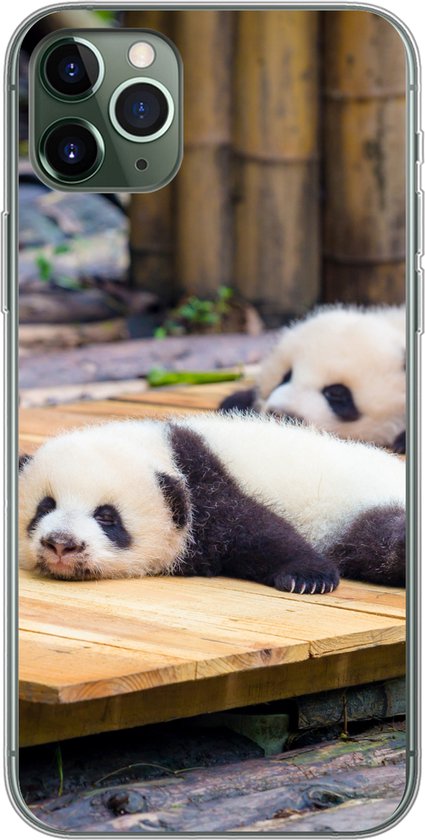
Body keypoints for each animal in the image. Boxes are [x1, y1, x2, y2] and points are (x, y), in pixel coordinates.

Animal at [19, 413, 405, 593]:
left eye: (107, 517)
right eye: (44, 507)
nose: (61, 544)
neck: (160, 449)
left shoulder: (208, 486)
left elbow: (260, 530)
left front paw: (308, 578)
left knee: (383, 543)